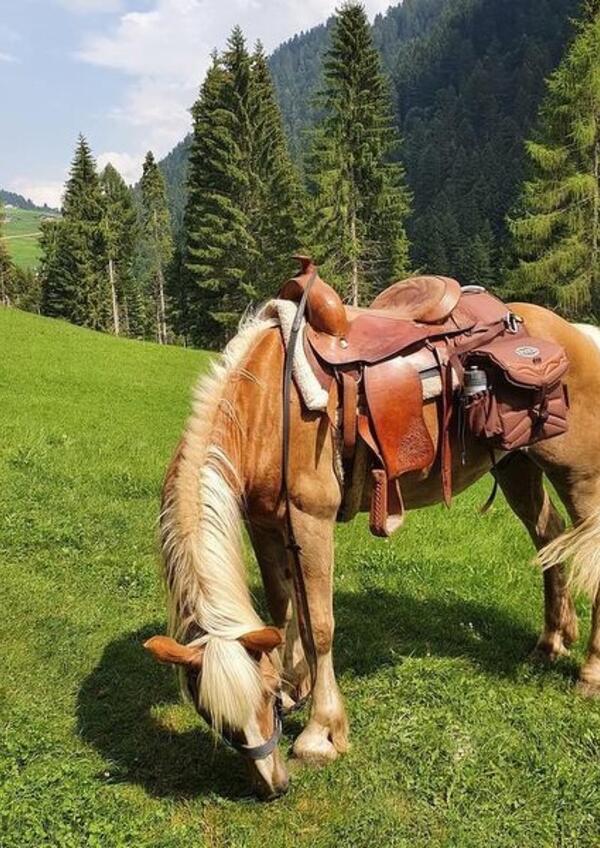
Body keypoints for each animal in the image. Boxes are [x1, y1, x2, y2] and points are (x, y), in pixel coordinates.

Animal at [144, 300, 600, 800]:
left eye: (262, 698)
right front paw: (294, 684)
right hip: (517, 465)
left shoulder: (310, 517)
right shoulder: (265, 524)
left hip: (579, 477)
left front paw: (321, 733)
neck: (264, 406)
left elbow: (319, 624)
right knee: (550, 537)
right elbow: (283, 610)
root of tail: (579, 334)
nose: (271, 787)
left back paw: (590, 674)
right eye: (211, 715)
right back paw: (551, 641)